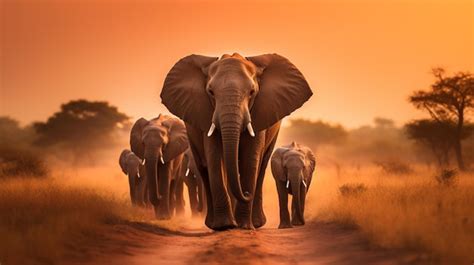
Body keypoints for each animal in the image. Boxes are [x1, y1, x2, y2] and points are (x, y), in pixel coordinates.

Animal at [161, 52, 312, 229]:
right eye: (211, 92)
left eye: (252, 92)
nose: (246, 193)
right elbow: (214, 157)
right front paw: (224, 226)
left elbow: (251, 158)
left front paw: (244, 226)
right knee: (204, 166)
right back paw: (214, 223)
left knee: (261, 165)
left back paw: (256, 223)